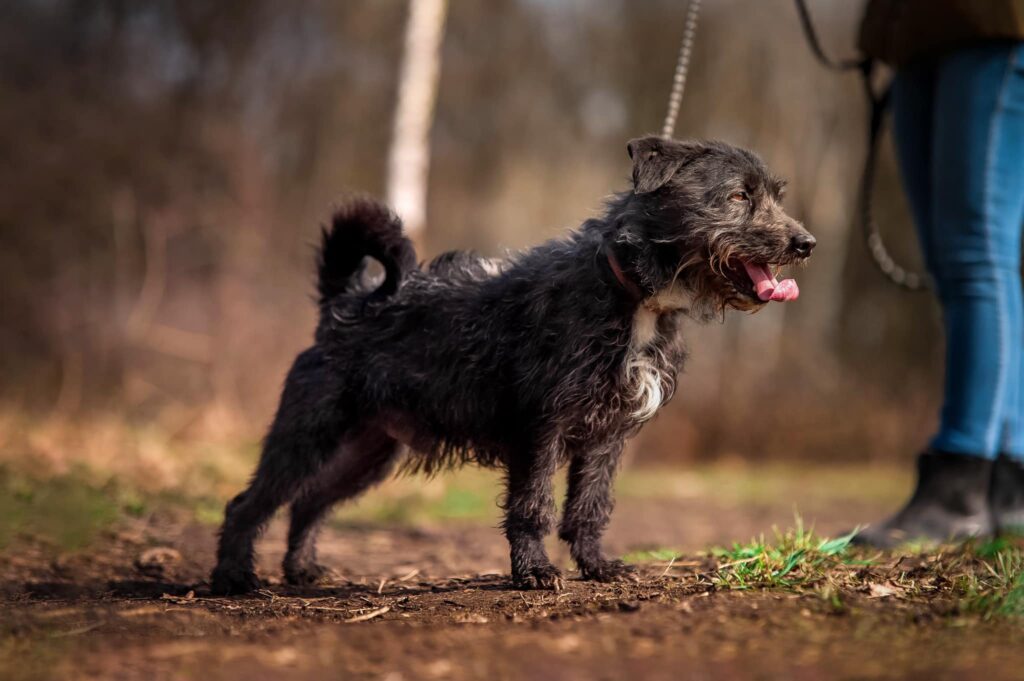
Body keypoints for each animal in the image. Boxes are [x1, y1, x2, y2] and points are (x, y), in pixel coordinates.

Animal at [207, 135, 815, 593]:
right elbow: (533, 506)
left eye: (774, 196)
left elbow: (590, 506)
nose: (807, 243)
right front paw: (535, 573)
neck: (631, 295)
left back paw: (301, 569)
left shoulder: (606, 437)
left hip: (369, 450)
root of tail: (345, 303)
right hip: (309, 431)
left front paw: (596, 567)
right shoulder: (540, 428)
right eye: (737, 195)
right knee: (249, 502)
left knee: (309, 500)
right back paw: (235, 578)